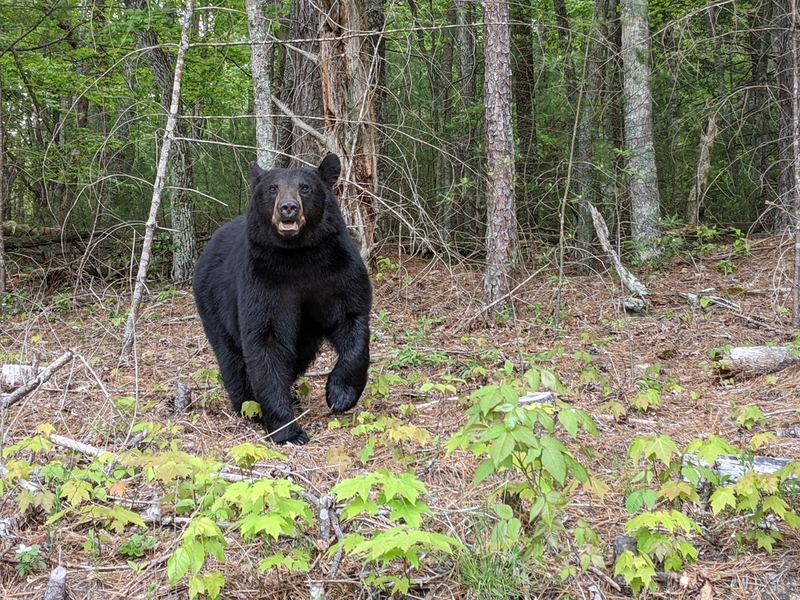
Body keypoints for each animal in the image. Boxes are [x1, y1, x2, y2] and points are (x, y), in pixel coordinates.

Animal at [194, 154, 372, 446]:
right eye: (272, 188)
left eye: (305, 187)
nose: (288, 208)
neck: (298, 256)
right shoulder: (265, 281)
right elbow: (266, 341)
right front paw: (287, 430)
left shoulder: (337, 271)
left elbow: (352, 320)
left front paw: (340, 394)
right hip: (213, 305)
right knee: (232, 360)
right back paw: (249, 407)